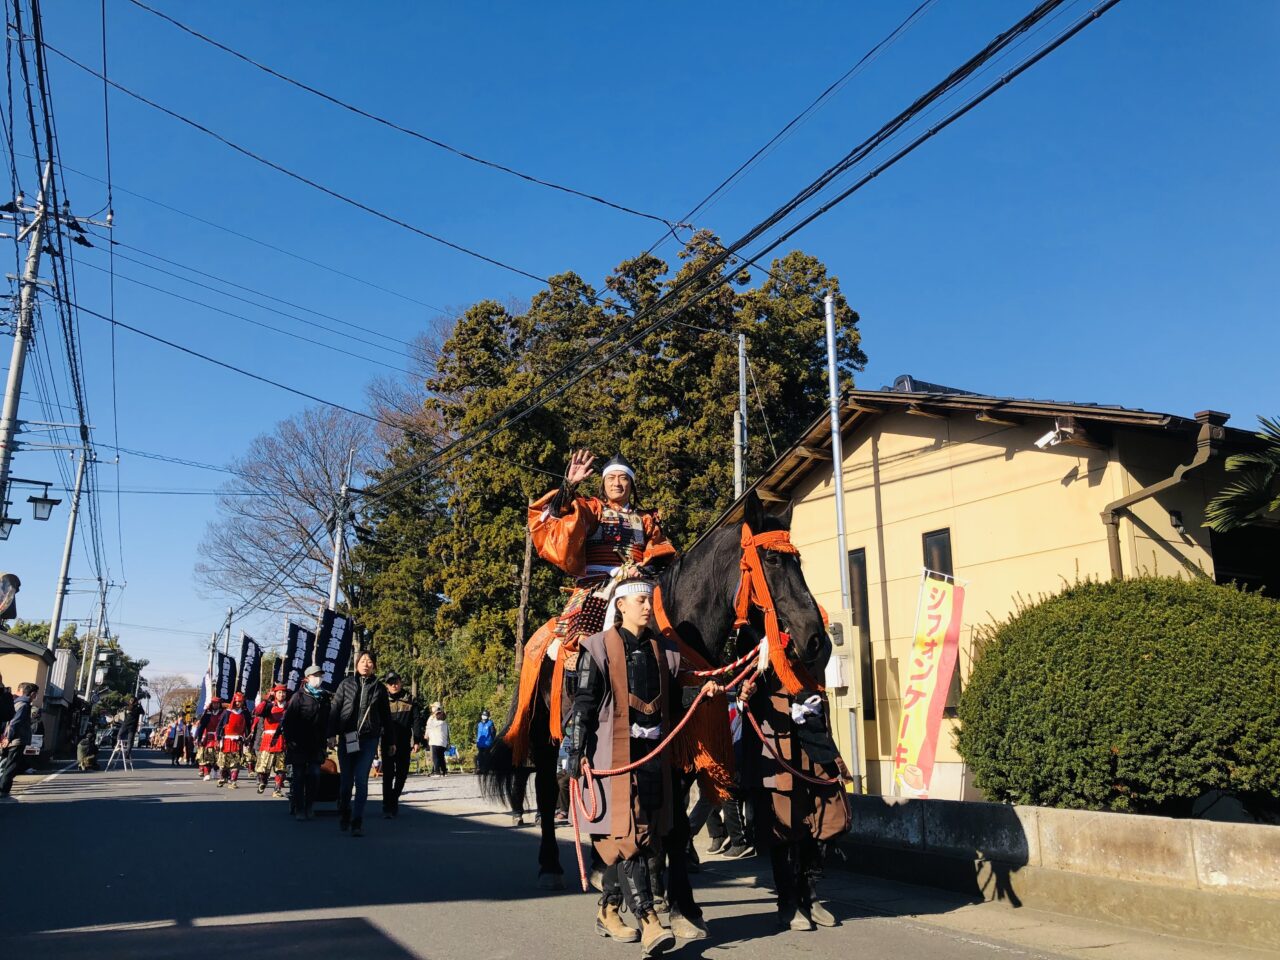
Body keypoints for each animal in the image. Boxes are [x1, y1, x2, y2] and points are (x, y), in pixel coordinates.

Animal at [478, 491, 829, 926]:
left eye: (798, 561)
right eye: (772, 561)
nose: (814, 636)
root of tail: (544, 637)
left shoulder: (680, 748)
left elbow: (667, 822)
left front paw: (672, 897)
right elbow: (668, 822)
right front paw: (677, 902)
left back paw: (601, 868)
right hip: (547, 734)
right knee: (545, 790)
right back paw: (552, 868)